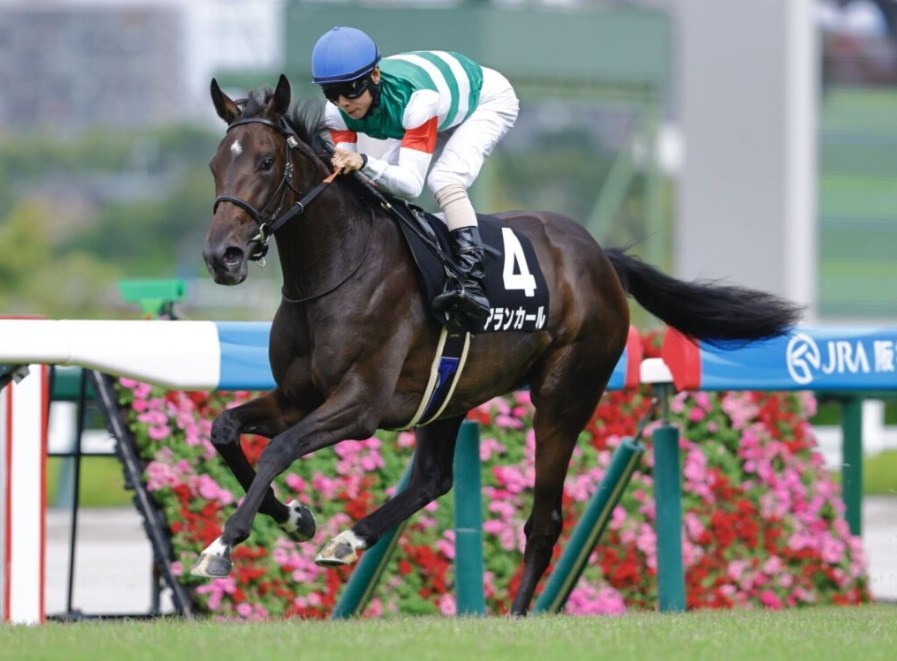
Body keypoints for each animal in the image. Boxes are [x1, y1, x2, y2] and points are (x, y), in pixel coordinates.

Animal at [196, 74, 803, 616]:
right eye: (215, 164)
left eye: (266, 162)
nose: (221, 256)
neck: (337, 270)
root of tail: (602, 259)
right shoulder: (298, 396)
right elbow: (226, 429)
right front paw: (296, 518)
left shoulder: (360, 404)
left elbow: (278, 449)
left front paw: (223, 544)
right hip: (448, 396)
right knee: (434, 479)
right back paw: (349, 539)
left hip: (562, 400)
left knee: (544, 520)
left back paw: (515, 613)